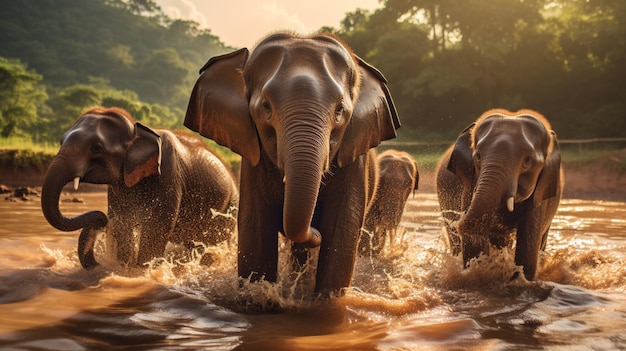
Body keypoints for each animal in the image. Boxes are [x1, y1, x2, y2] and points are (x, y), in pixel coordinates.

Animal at [40, 107, 238, 270]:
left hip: (230, 207)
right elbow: (123, 223)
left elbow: (156, 227)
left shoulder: (169, 175)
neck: (137, 129)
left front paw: (141, 270)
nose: (102, 219)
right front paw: (124, 267)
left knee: (214, 242)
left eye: (96, 148)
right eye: (61, 141)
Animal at [183, 32, 398, 296]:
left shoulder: (353, 159)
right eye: (265, 106)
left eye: (340, 110)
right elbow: (255, 232)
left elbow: (342, 235)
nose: (315, 233)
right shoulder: (254, 159)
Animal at [434, 109, 560, 280]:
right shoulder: (470, 184)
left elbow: (528, 245)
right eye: (478, 156)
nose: (459, 223)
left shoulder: (540, 194)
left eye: (528, 160)